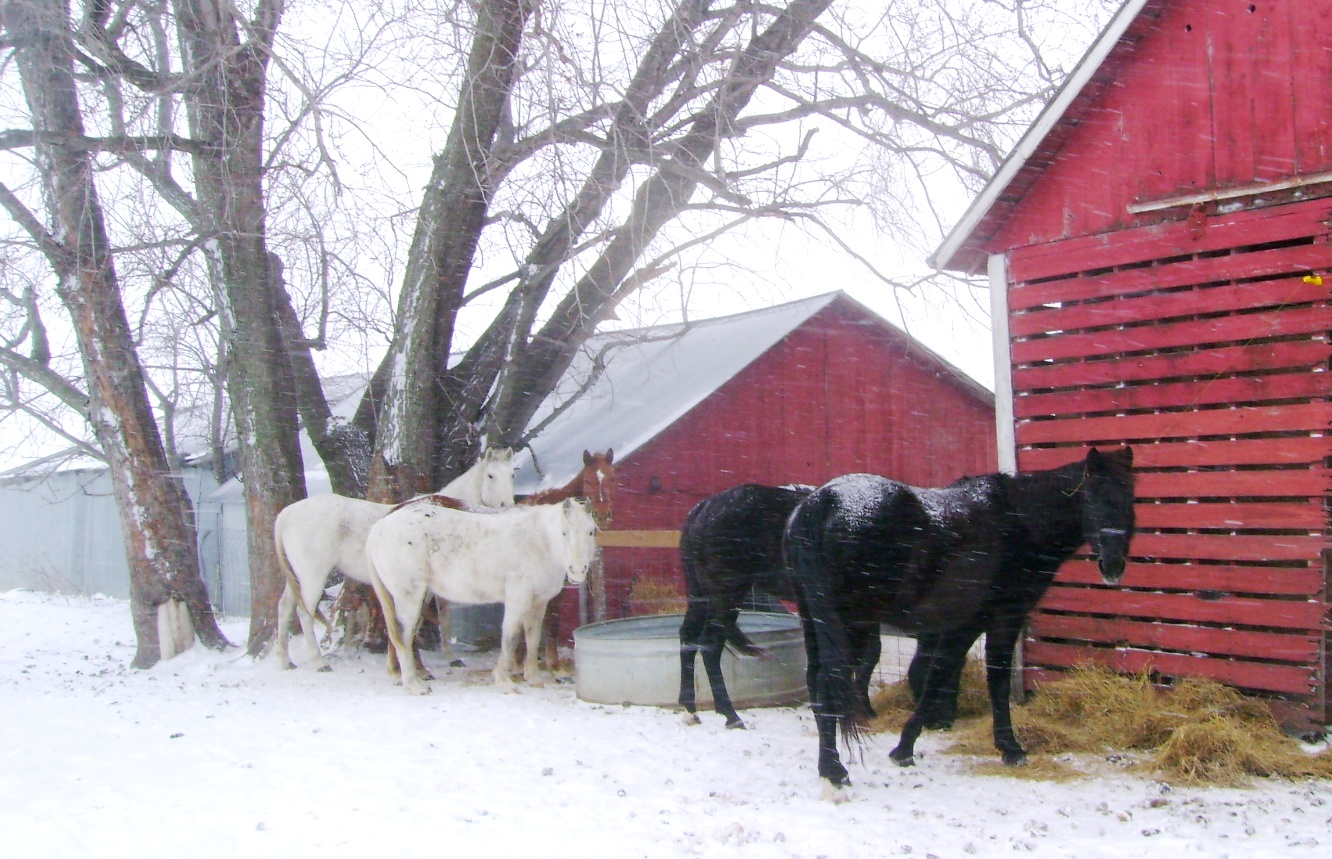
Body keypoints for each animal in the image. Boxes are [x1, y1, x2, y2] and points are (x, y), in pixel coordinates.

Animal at [275, 450, 514, 671]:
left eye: (512, 474)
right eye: (491, 475)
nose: (507, 505)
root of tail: (287, 513)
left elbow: (444, 617)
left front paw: (450, 657)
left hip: (297, 578)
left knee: (285, 608)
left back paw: (286, 661)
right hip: (313, 577)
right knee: (304, 613)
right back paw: (319, 662)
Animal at [362, 495, 596, 692]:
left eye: (591, 531)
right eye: (564, 533)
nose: (577, 571)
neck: (540, 542)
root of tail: (379, 527)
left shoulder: (538, 602)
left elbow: (533, 637)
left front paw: (533, 678)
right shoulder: (518, 598)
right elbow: (510, 636)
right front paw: (504, 680)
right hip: (410, 597)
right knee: (403, 636)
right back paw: (413, 685)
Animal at [783, 450, 1140, 799]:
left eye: (1130, 499)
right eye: (1091, 497)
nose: (1113, 565)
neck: (1019, 520)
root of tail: (821, 503)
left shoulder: (961, 625)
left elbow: (936, 677)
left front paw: (904, 747)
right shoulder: (1000, 619)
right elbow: (992, 682)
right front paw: (1009, 748)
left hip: (815, 621)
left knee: (816, 683)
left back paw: (829, 769)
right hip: (851, 625)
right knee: (829, 684)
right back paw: (834, 772)